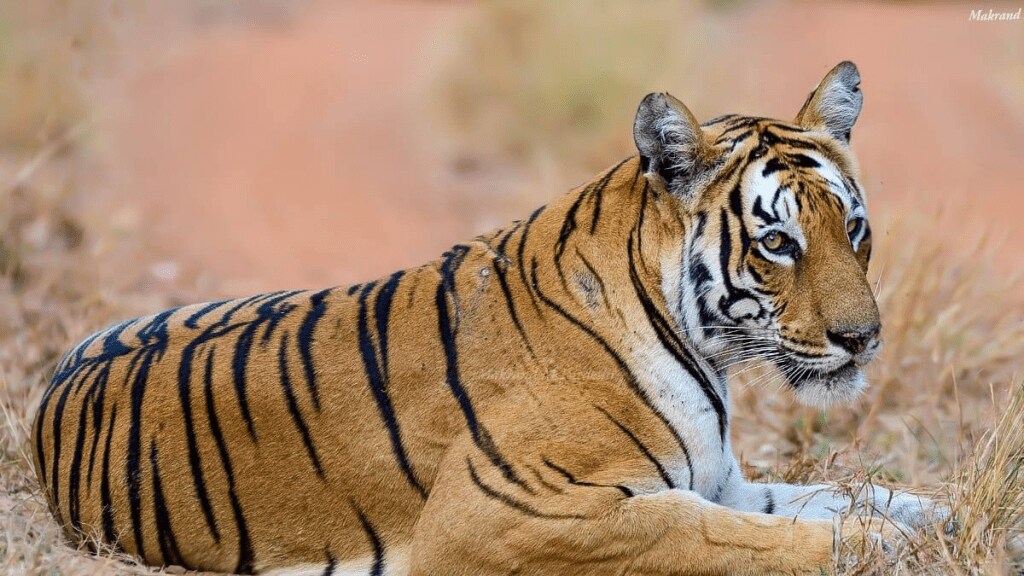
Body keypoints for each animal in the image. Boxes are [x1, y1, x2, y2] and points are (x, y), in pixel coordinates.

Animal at [32, 60, 942, 569]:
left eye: (853, 229)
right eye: (778, 242)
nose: (863, 339)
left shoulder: (723, 480)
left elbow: (843, 495)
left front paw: (940, 519)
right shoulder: (503, 517)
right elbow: (724, 540)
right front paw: (887, 550)